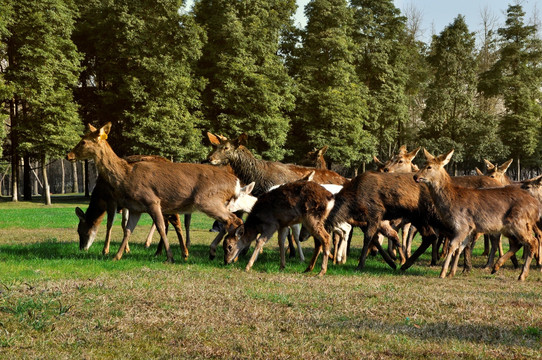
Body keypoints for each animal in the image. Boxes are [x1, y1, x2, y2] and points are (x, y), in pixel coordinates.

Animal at [66, 123, 242, 262]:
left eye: (83, 141)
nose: (68, 155)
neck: (126, 176)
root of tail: (235, 183)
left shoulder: (152, 200)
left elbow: (160, 227)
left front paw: (169, 257)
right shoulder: (135, 208)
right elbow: (128, 230)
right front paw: (117, 256)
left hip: (207, 200)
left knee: (232, 220)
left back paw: (224, 254)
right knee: (232, 221)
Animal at [414, 149, 540, 282]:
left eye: (429, 166)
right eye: (422, 163)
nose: (415, 176)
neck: (451, 201)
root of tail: (536, 206)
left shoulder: (462, 224)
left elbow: (452, 246)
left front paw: (443, 273)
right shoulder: (470, 228)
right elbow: (460, 248)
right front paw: (452, 272)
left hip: (517, 222)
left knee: (532, 242)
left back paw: (522, 275)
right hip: (508, 227)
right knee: (518, 243)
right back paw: (496, 267)